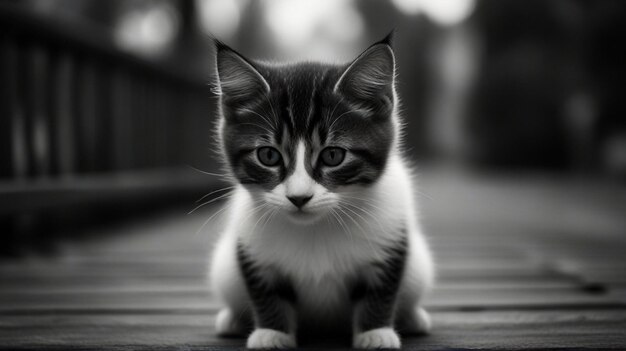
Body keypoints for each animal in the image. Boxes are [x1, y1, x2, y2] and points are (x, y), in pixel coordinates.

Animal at [207, 32, 432, 350]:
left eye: (333, 155)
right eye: (268, 155)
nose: (299, 197)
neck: (317, 226)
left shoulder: (392, 233)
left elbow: (380, 288)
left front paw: (376, 332)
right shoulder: (252, 245)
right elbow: (266, 290)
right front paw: (272, 333)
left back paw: (412, 317)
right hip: (224, 270)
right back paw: (233, 320)